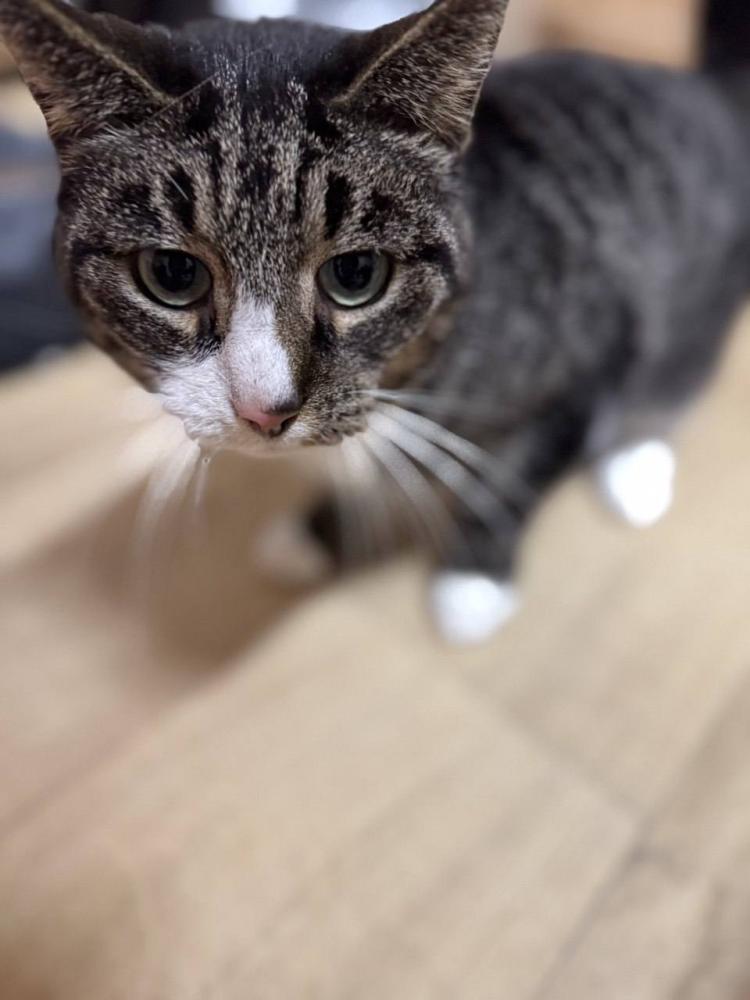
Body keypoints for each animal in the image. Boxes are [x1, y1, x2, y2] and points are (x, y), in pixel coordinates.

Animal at [2, 0, 749, 644]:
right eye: (172, 274)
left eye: (357, 274)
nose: (266, 409)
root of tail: (707, 90)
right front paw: (316, 534)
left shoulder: (590, 351)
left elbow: (510, 478)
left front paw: (472, 580)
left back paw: (634, 465)